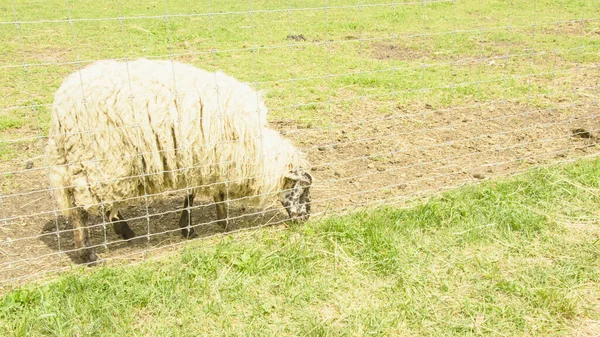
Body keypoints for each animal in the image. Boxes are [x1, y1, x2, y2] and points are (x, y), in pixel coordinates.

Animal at [45, 58, 314, 262]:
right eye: (303, 189)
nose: (306, 218)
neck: (257, 150)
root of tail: (60, 105)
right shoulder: (204, 156)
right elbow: (195, 194)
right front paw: (192, 227)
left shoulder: (212, 159)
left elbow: (214, 192)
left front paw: (219, 221)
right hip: (98, 157)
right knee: (80, 210)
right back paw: (88, 254)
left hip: (92, 162)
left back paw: (124, 230)